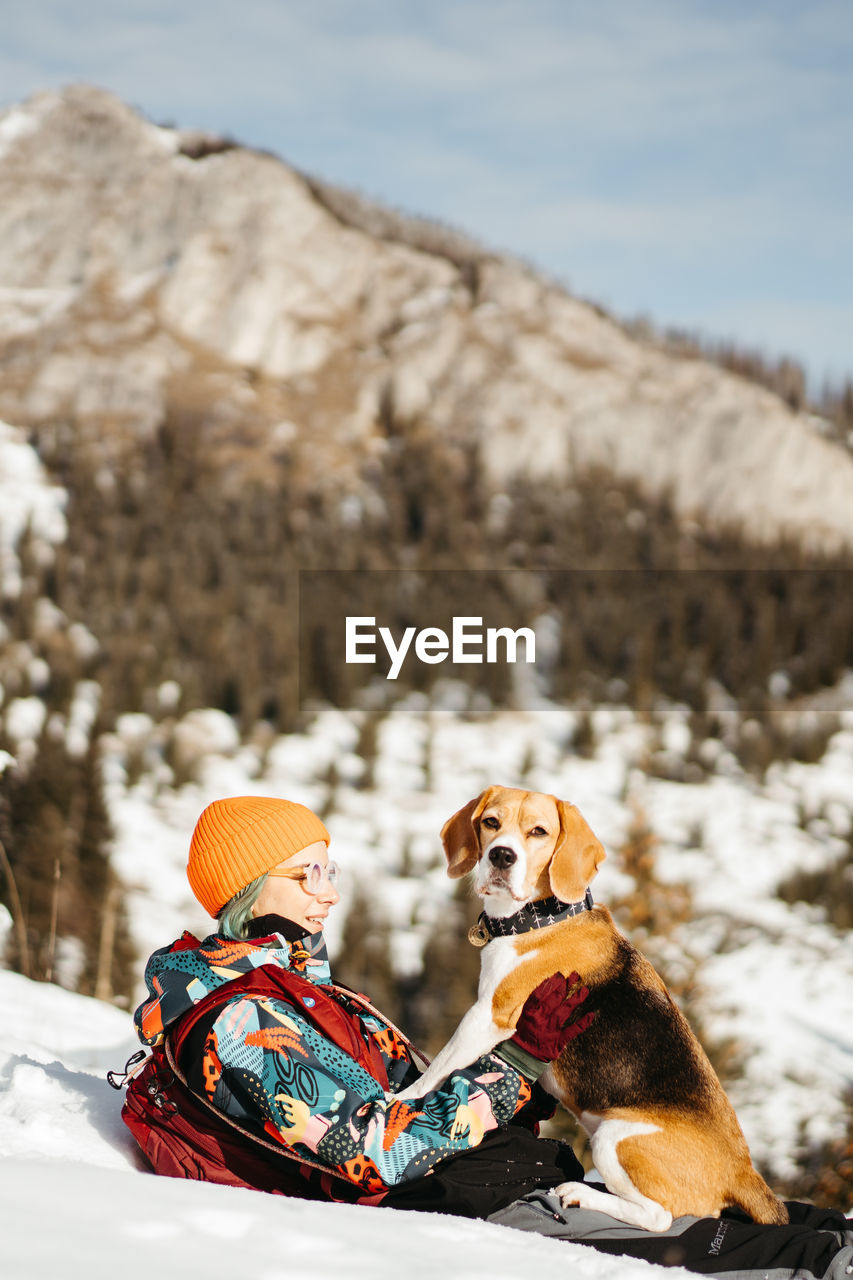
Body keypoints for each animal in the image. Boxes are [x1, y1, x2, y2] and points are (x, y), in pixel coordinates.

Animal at [394, 783, 788, 1233]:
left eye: (539, 831)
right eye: (491, 822)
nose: (501, 856)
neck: (542, 918)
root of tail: (741, 1171)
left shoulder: (488, 1017)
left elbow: (436, 1071)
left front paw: (397, 1100)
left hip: (614, 1139)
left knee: (658, 1218)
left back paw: (581, 1194)